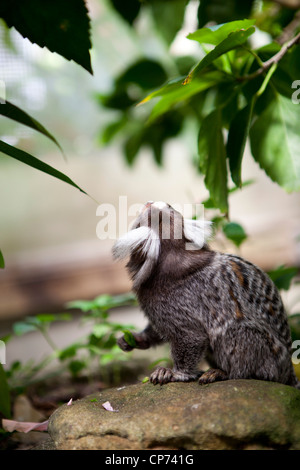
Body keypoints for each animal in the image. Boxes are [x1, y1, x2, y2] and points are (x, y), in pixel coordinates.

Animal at [113, 200, 300, 388]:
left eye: (161, 211)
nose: (149, 203)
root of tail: (288, 371)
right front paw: (138, 339)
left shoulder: (178, 302)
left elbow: (192, 336)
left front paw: (177, 373)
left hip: (268, 358)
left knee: (235, 331)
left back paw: (225, 373)